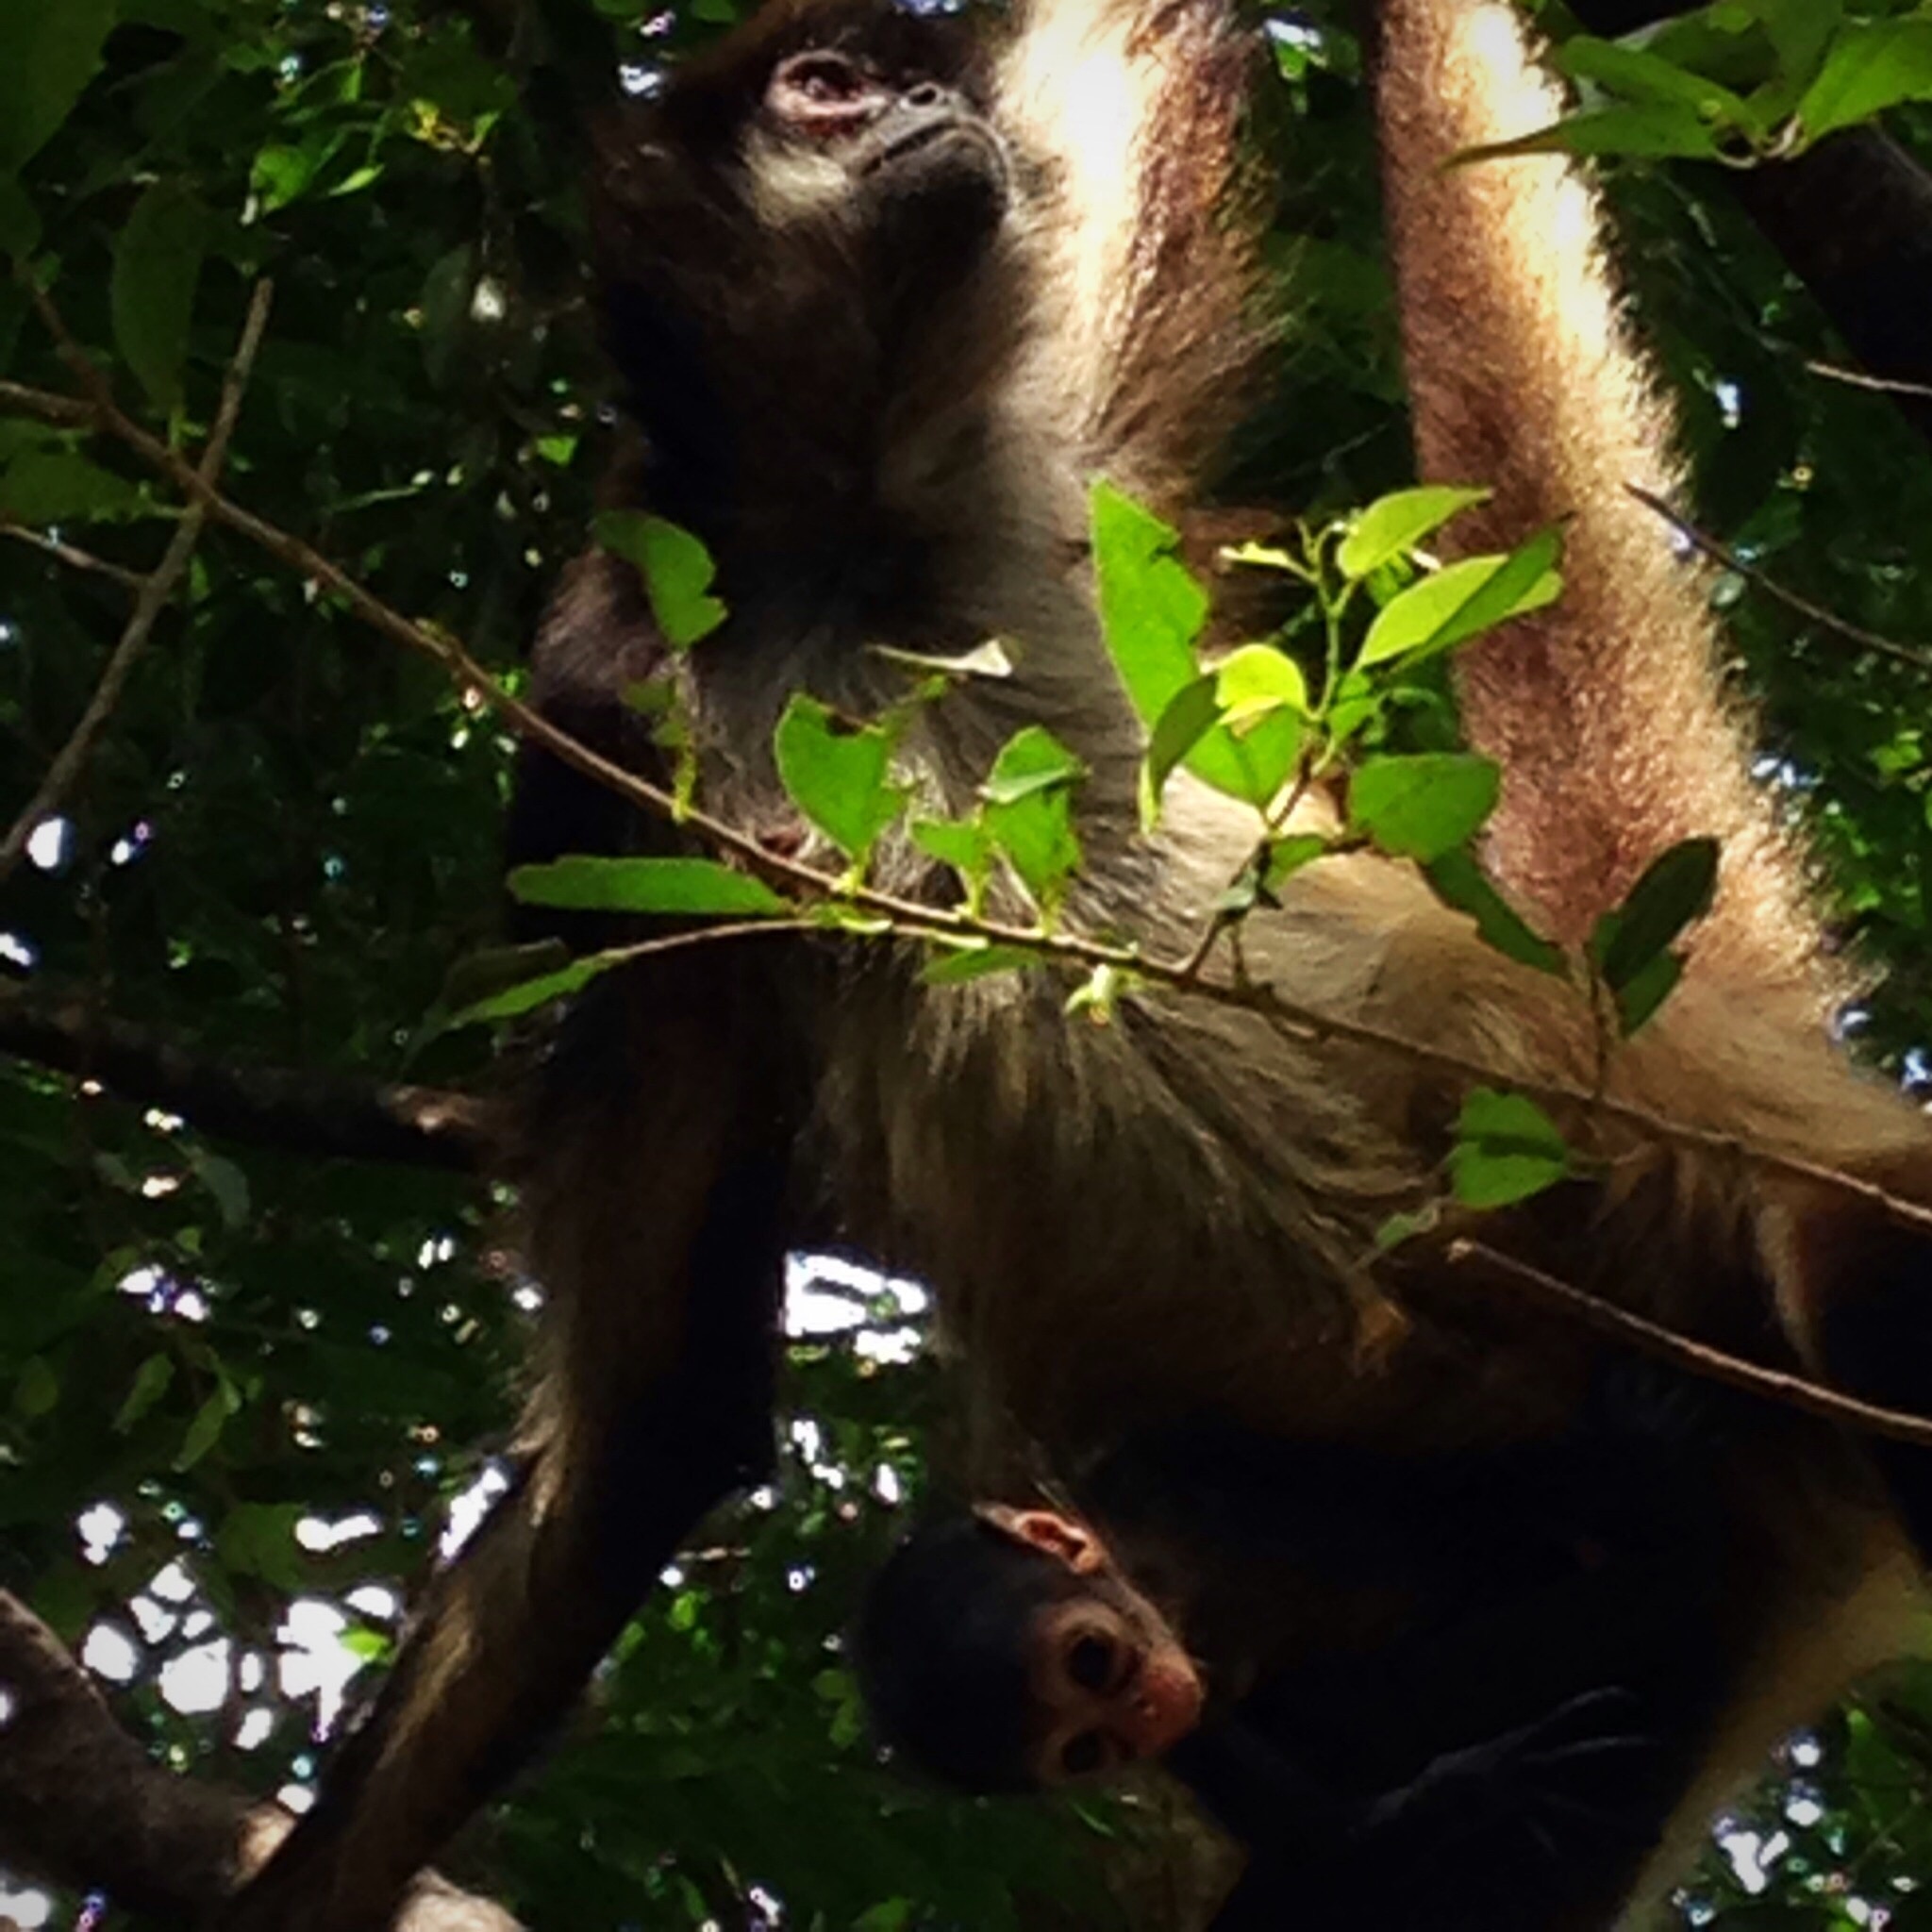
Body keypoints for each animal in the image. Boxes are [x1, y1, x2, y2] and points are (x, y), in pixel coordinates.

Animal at [854, 1391, 1731, 1932]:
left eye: (1091, 1660)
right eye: (1086, 1750)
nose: (1144, 1711)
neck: (1170, 1583)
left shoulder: (1189, 1452)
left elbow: (1448, 1486)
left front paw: (1630, 1452)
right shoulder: (1192, 1726)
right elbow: (1320, 1842)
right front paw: (1487, 1787)